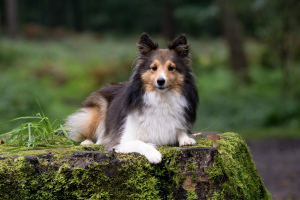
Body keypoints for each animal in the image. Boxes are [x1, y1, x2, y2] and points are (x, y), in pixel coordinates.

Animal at [65, 32, 199, 163]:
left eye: (171, 68)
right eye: (153, 67)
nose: (161, 81)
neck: (161, 98)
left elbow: (179, 130)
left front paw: (186, 139)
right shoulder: (124, 140)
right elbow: (142, 144)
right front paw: (154, 155)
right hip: (96, 112)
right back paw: (88, 142)